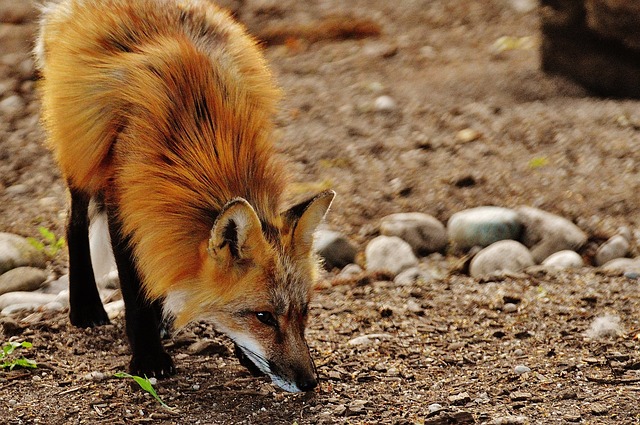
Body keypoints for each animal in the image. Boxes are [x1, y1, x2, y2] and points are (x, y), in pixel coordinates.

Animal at [33, 0, 336, 394]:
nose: (310, 382)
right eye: (263, 317)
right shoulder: (126, 201)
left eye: (305, 311)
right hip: (80, 151)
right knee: (72, 222)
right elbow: (136, 289)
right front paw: (148, 357)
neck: (206, 140)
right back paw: (86, 308)